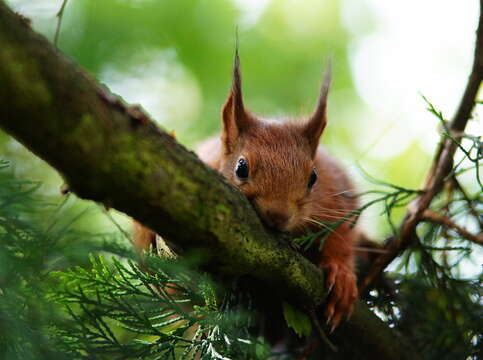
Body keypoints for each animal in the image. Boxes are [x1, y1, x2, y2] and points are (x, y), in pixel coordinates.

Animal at [134, 52, 362, 330]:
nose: (279, 215)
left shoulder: (336, 198)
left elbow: (341, 235)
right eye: (241, 168)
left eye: (313, 178)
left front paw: (341, 276)